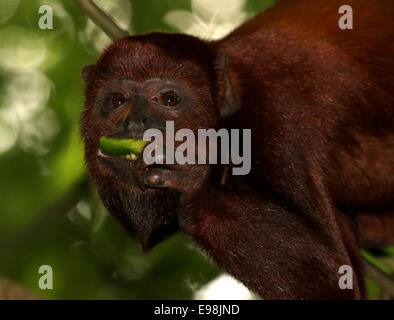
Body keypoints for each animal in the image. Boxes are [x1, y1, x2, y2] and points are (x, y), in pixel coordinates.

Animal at [80, 0, 394, 300]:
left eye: (169, 99)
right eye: (116, 100)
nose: (135, 122)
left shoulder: (280, 116)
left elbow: (337, 279)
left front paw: (197, 185)